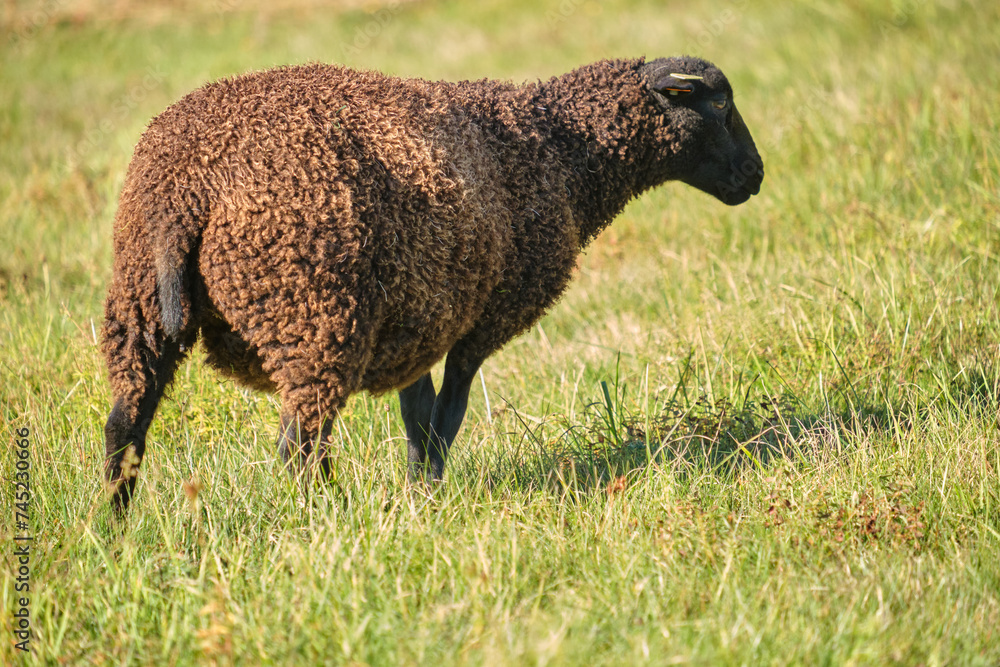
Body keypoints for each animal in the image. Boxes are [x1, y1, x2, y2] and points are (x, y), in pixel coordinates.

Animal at [103, 57, 764, 516]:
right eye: (720, 106)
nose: (755, 175)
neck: (559, 146)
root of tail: (186, 190)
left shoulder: (417, 319)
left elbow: (417, 415)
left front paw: (418, 491)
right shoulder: (485, 318)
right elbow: (449, 412)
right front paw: (430, 490)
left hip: (140, 307)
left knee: (124, 427)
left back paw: (116, 529)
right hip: (315, 312)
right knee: (299, 445)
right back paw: (327, 516)